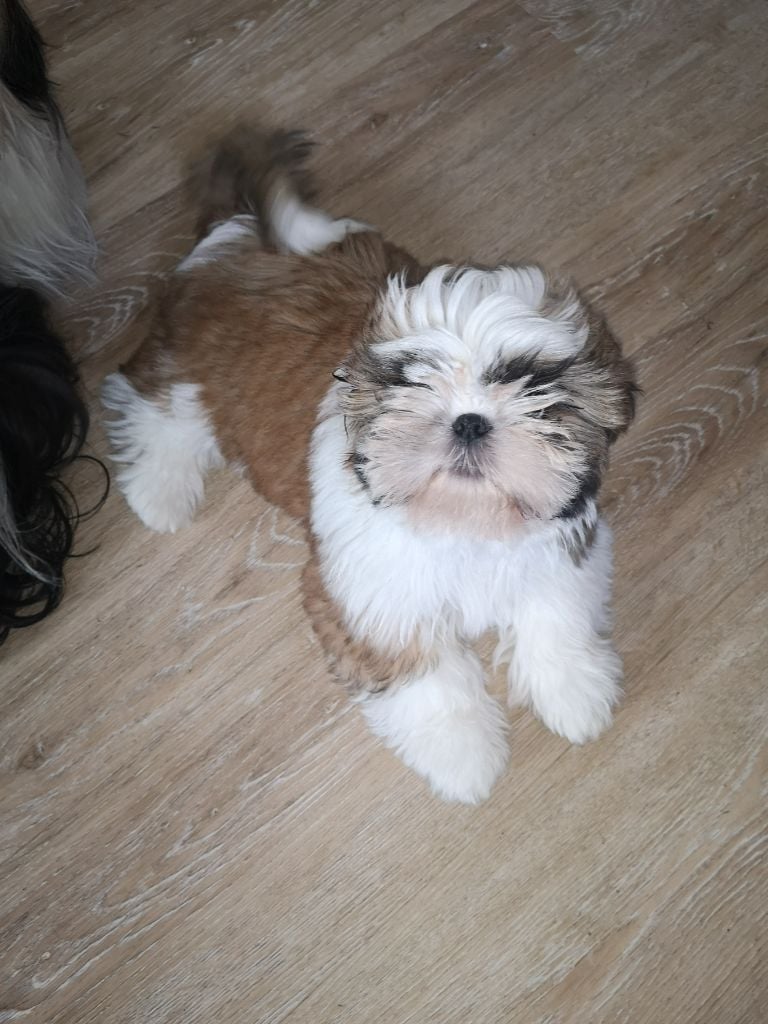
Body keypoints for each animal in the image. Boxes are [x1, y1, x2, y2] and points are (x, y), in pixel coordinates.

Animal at [103, 129, 637, 803]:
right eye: (415, 383)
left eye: (530, 386)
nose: (469, 420)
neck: (462, 521)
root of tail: (241, 233)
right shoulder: (369, 592)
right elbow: (422, 672)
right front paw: (463, 754)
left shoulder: (562, 543)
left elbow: (558, 609)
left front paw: (575, 690)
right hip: (190, 366)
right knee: (157, 406)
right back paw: (160, 490)